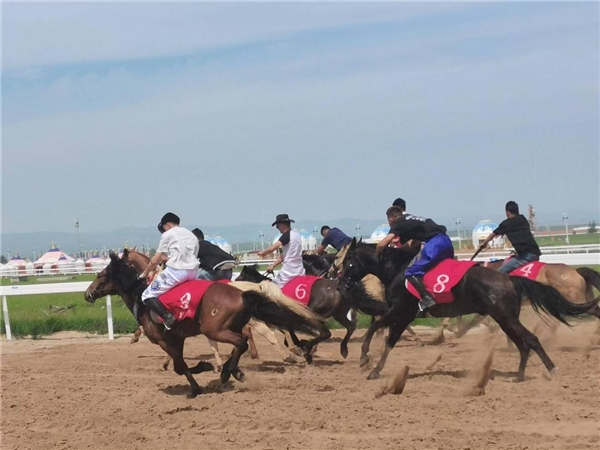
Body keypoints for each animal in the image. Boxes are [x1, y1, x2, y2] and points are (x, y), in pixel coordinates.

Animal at [84, 250, 328, 398]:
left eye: (101, 275)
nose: (87, 293)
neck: (142, 298)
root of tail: (242, 293)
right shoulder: (177, 338)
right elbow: (180, 365)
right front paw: (207, 367)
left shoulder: (165, 340)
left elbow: (180, 366)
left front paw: (197, 383)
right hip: (229, 326)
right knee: (245, 340)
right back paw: (233, 369)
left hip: (216, 328)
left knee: (243, 341)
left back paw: (235, 370)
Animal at [234, 264, 390, 358]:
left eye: (241, 275)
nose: (234, 282)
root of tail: (339, 287)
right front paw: (298, 345)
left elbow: (289, 333)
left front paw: (299, 346)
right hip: (338, 314)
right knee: (350, 326)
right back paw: (343, 349)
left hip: (316, 313)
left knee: (325, 333)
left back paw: (309, 347)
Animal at [338, 239, 596, 380]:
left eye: (346, 263)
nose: (339, 284)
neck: (399, 269)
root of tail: (509, 279)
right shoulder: (403, 315)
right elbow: (386, 336)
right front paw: (372, 367)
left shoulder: (401, 311)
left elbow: (378, 329)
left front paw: (364, 359)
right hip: (505, 317)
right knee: (523, 342)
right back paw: (520, 376)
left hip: (505, 316)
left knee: (530, 339)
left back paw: (551, 369)